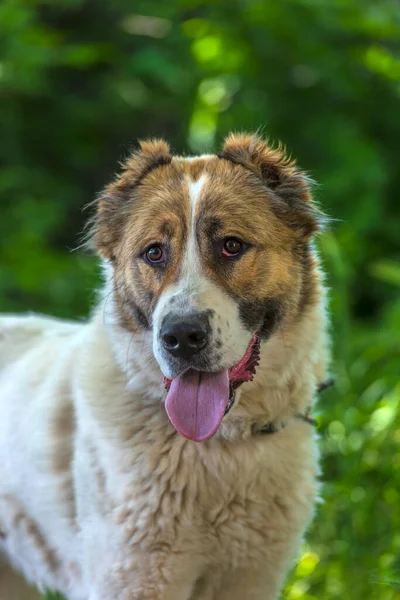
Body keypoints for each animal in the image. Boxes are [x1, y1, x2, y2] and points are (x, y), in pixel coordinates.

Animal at [0, 136, 330, 600]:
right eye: (154, 252)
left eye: (232, 245)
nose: (181, 337)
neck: (217, 449)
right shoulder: (132, 580)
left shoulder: (250, 580)